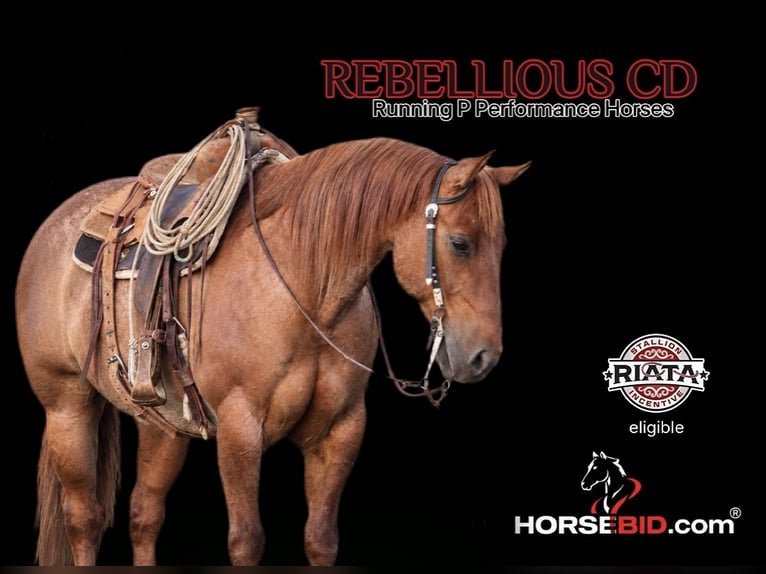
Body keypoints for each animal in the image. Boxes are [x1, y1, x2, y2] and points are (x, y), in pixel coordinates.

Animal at [15, 114, 530, 565]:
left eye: (502, 246)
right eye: (460, 243)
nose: (482, 357)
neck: (303, 285)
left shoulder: (340, 430)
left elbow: (321, 538)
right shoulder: (240, 428)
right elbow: (247, 540)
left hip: (162, 426)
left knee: (145, 514)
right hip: (67, 406)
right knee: (84, 517)